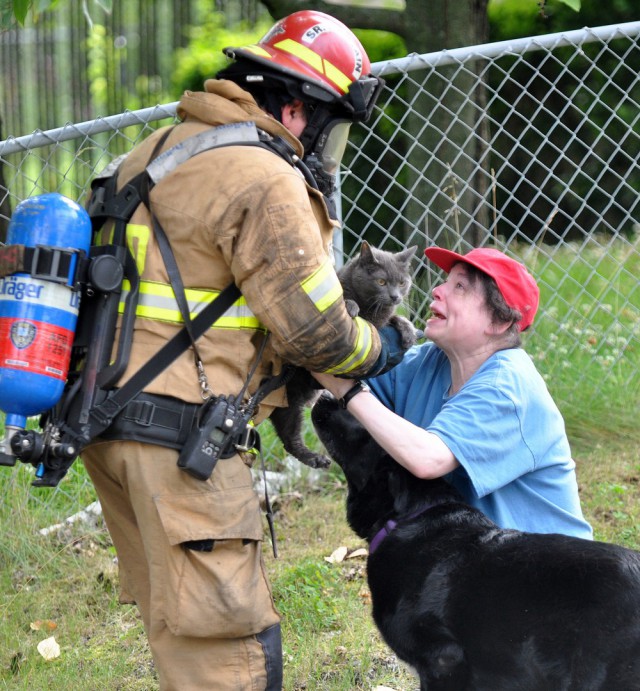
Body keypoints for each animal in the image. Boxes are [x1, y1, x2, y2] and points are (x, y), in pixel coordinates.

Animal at [268, 243, 418, 470]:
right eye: (381, 282)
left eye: (402, 282)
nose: (395, 297)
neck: (371, 308)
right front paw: (351, 306)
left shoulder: (380, 324)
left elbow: (394, 318)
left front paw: (408, 333)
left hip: (290, 404)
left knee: (288, 436)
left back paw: (316, 459)